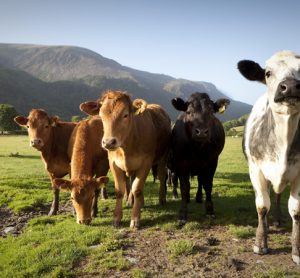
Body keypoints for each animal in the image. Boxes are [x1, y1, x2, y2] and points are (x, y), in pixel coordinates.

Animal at [80, 90, 171, 229]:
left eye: (125, 115)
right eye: (101, 115)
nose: (108, 142)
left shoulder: (146, 162)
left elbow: (137, 188)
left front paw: (135, 219)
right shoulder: (113, 163)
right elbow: (120, 190)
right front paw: (116, 218)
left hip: (163, 157)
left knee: (161, 177)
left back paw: (161, 198)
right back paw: (133, 201)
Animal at [169, 93, 230, 224]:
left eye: (211, 112)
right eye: (189, 112)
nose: (201, 132)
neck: (197, 147)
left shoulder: (212, 162)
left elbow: (208, 185)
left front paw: (210, 210)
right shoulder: (181, 163)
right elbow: (184, 187)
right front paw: (183, 213)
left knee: (201, 180)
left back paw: (198, 197)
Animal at [238, 50, 300, 264]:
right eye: (267, 73)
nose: (290, 86)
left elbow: (296, 210)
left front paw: (296, 251)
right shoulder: (255, 170)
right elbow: (262, 206)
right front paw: (260, 243)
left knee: (279, 194)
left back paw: (278, 219)